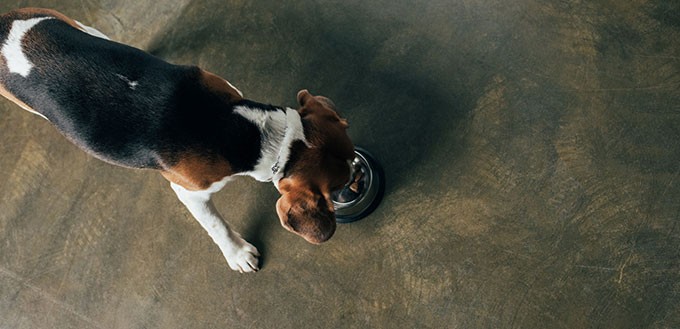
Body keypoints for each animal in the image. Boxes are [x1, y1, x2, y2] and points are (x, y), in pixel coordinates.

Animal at [1, 9, 356, 272]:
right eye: (339, 186)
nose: (353, 179)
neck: (249, 132)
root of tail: (6, 24)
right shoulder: (190, 191)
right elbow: (215, 224)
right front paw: (237, 253)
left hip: (70, 23)